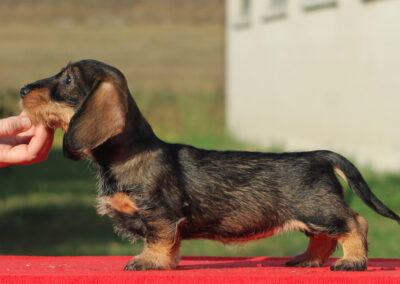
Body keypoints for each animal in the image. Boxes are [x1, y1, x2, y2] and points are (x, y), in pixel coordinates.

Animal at [20, 59, 400, 270]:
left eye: (68, 80)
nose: (22, 90)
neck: (129, 155)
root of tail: (320, 154)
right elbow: (170, 244)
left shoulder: (160, 213)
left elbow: (157, 240)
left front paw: (149, 263)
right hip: (311, 216)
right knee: (323, 238)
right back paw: (308, 260)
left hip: (319, 208)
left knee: (355, 223)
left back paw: (353, 261)